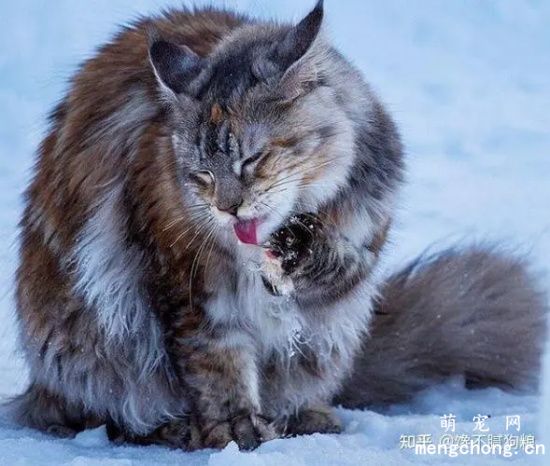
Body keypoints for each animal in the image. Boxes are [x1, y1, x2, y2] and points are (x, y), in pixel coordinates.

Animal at [8, 0, 548, 452]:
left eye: (252, 160)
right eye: (201, 174)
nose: (228, 208)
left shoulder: (364, 234)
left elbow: (336, 262)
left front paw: (301, 253)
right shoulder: (191, 288)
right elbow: (217, 363)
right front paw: (235, 429)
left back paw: (306, 416)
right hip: (91, 342)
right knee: (103, 413)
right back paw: (174, 428)